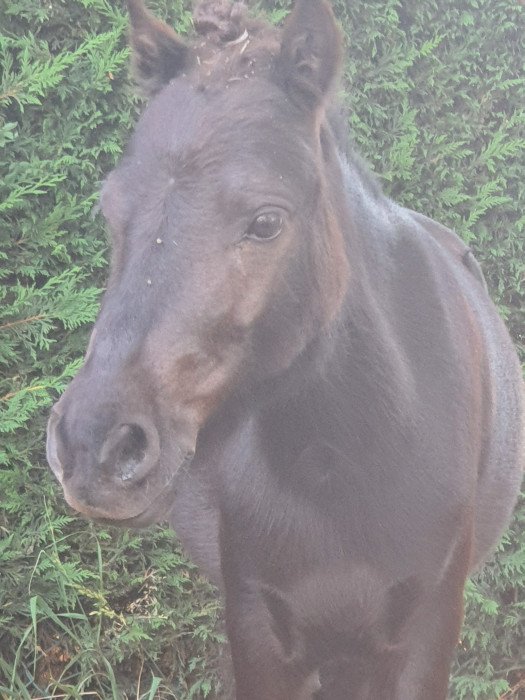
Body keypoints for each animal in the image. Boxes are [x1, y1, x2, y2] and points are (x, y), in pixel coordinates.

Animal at [46, 1, 524, 696]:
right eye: (110, 210)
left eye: (267, 221)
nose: (93, 447)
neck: (346, 469)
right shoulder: (261, 633)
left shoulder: (423, 637)